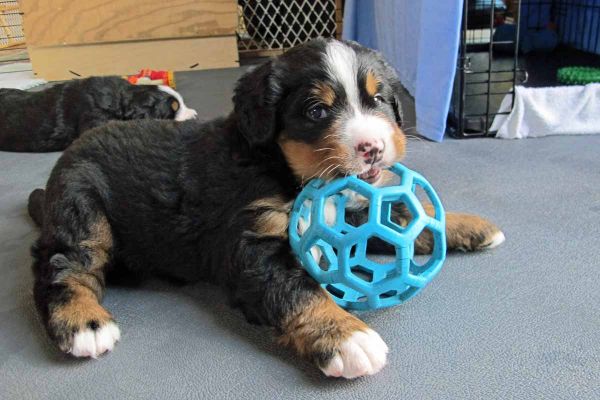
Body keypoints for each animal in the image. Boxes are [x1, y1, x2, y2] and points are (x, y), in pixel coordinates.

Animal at [29, 39, 506, 380]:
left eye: (379, 100)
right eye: (317, 110)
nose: (371, 147)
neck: (283, 169)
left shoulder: (348, 213)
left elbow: (402, 218)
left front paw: (466, 225)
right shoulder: (251, 243)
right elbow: (299, 289)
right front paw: (347, 336)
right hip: (83, 207)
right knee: (62, 265)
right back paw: (85, 323)